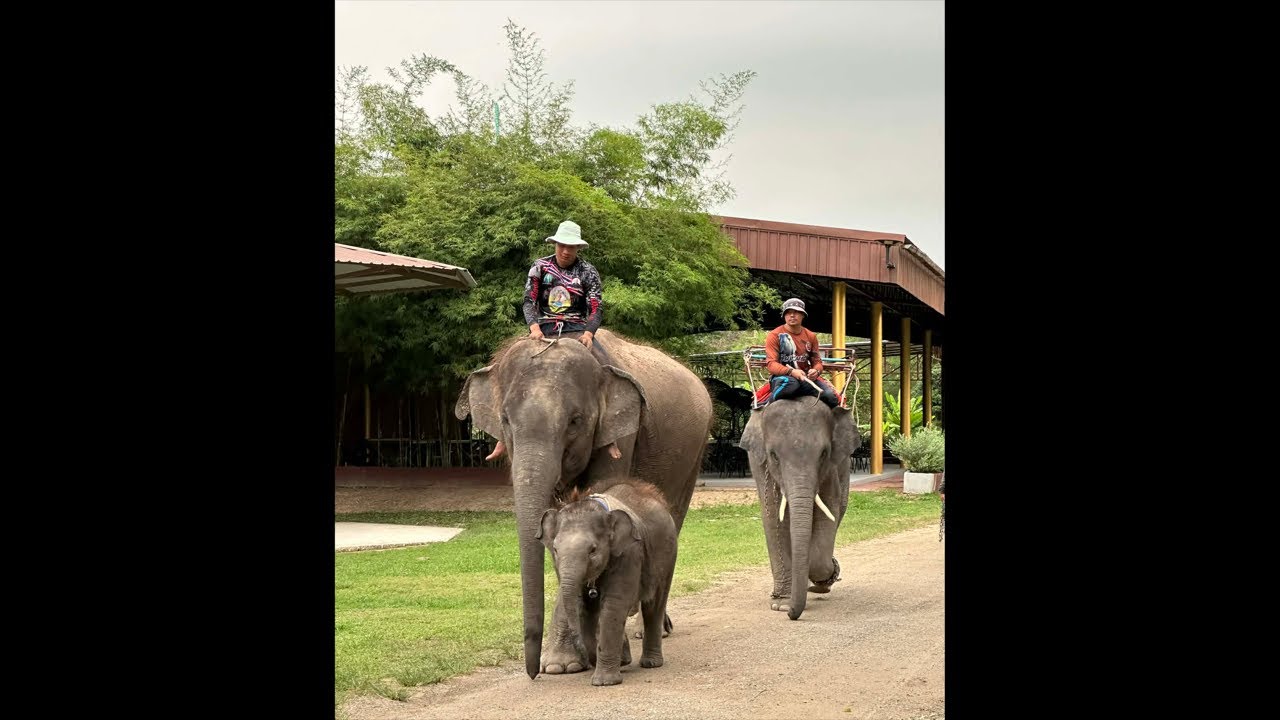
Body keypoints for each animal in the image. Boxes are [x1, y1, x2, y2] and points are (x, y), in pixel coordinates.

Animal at [537, 479, 678, 686]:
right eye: (554, 549)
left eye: (593, 550)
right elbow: (581, 605)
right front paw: (620, 661)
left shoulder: (629, 553)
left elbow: (614, 605)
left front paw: (604, 682)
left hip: (667, 555)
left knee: (654, 604)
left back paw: (651, 663)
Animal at [738, 398, 860, 620]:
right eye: (774, 455)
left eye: (823, 454)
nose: (791, 615)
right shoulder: (762, 467)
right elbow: (773, 518)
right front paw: (781, 605)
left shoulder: (831, 469)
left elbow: (829, 512)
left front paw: (819, 575)